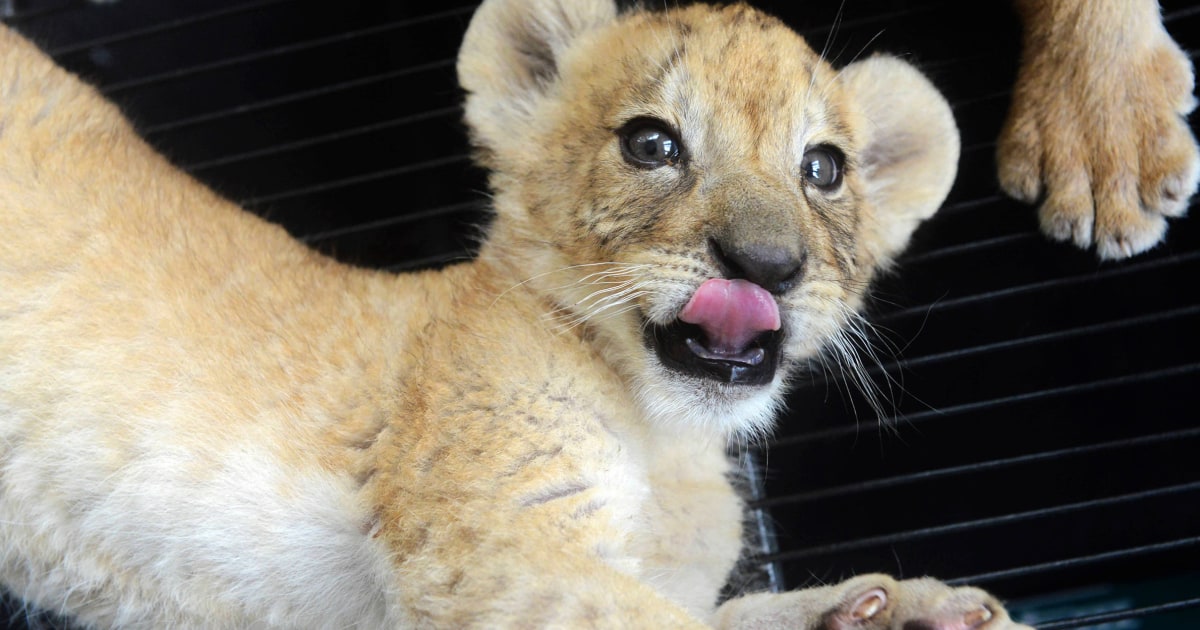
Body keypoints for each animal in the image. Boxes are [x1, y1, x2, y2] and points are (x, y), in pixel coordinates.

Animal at [0, 0, 1193, 627]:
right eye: (651, 143)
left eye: (826, 168)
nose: (766, 262)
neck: (670, 442)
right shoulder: (491, 544)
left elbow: (727, 618)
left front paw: (904, 606)